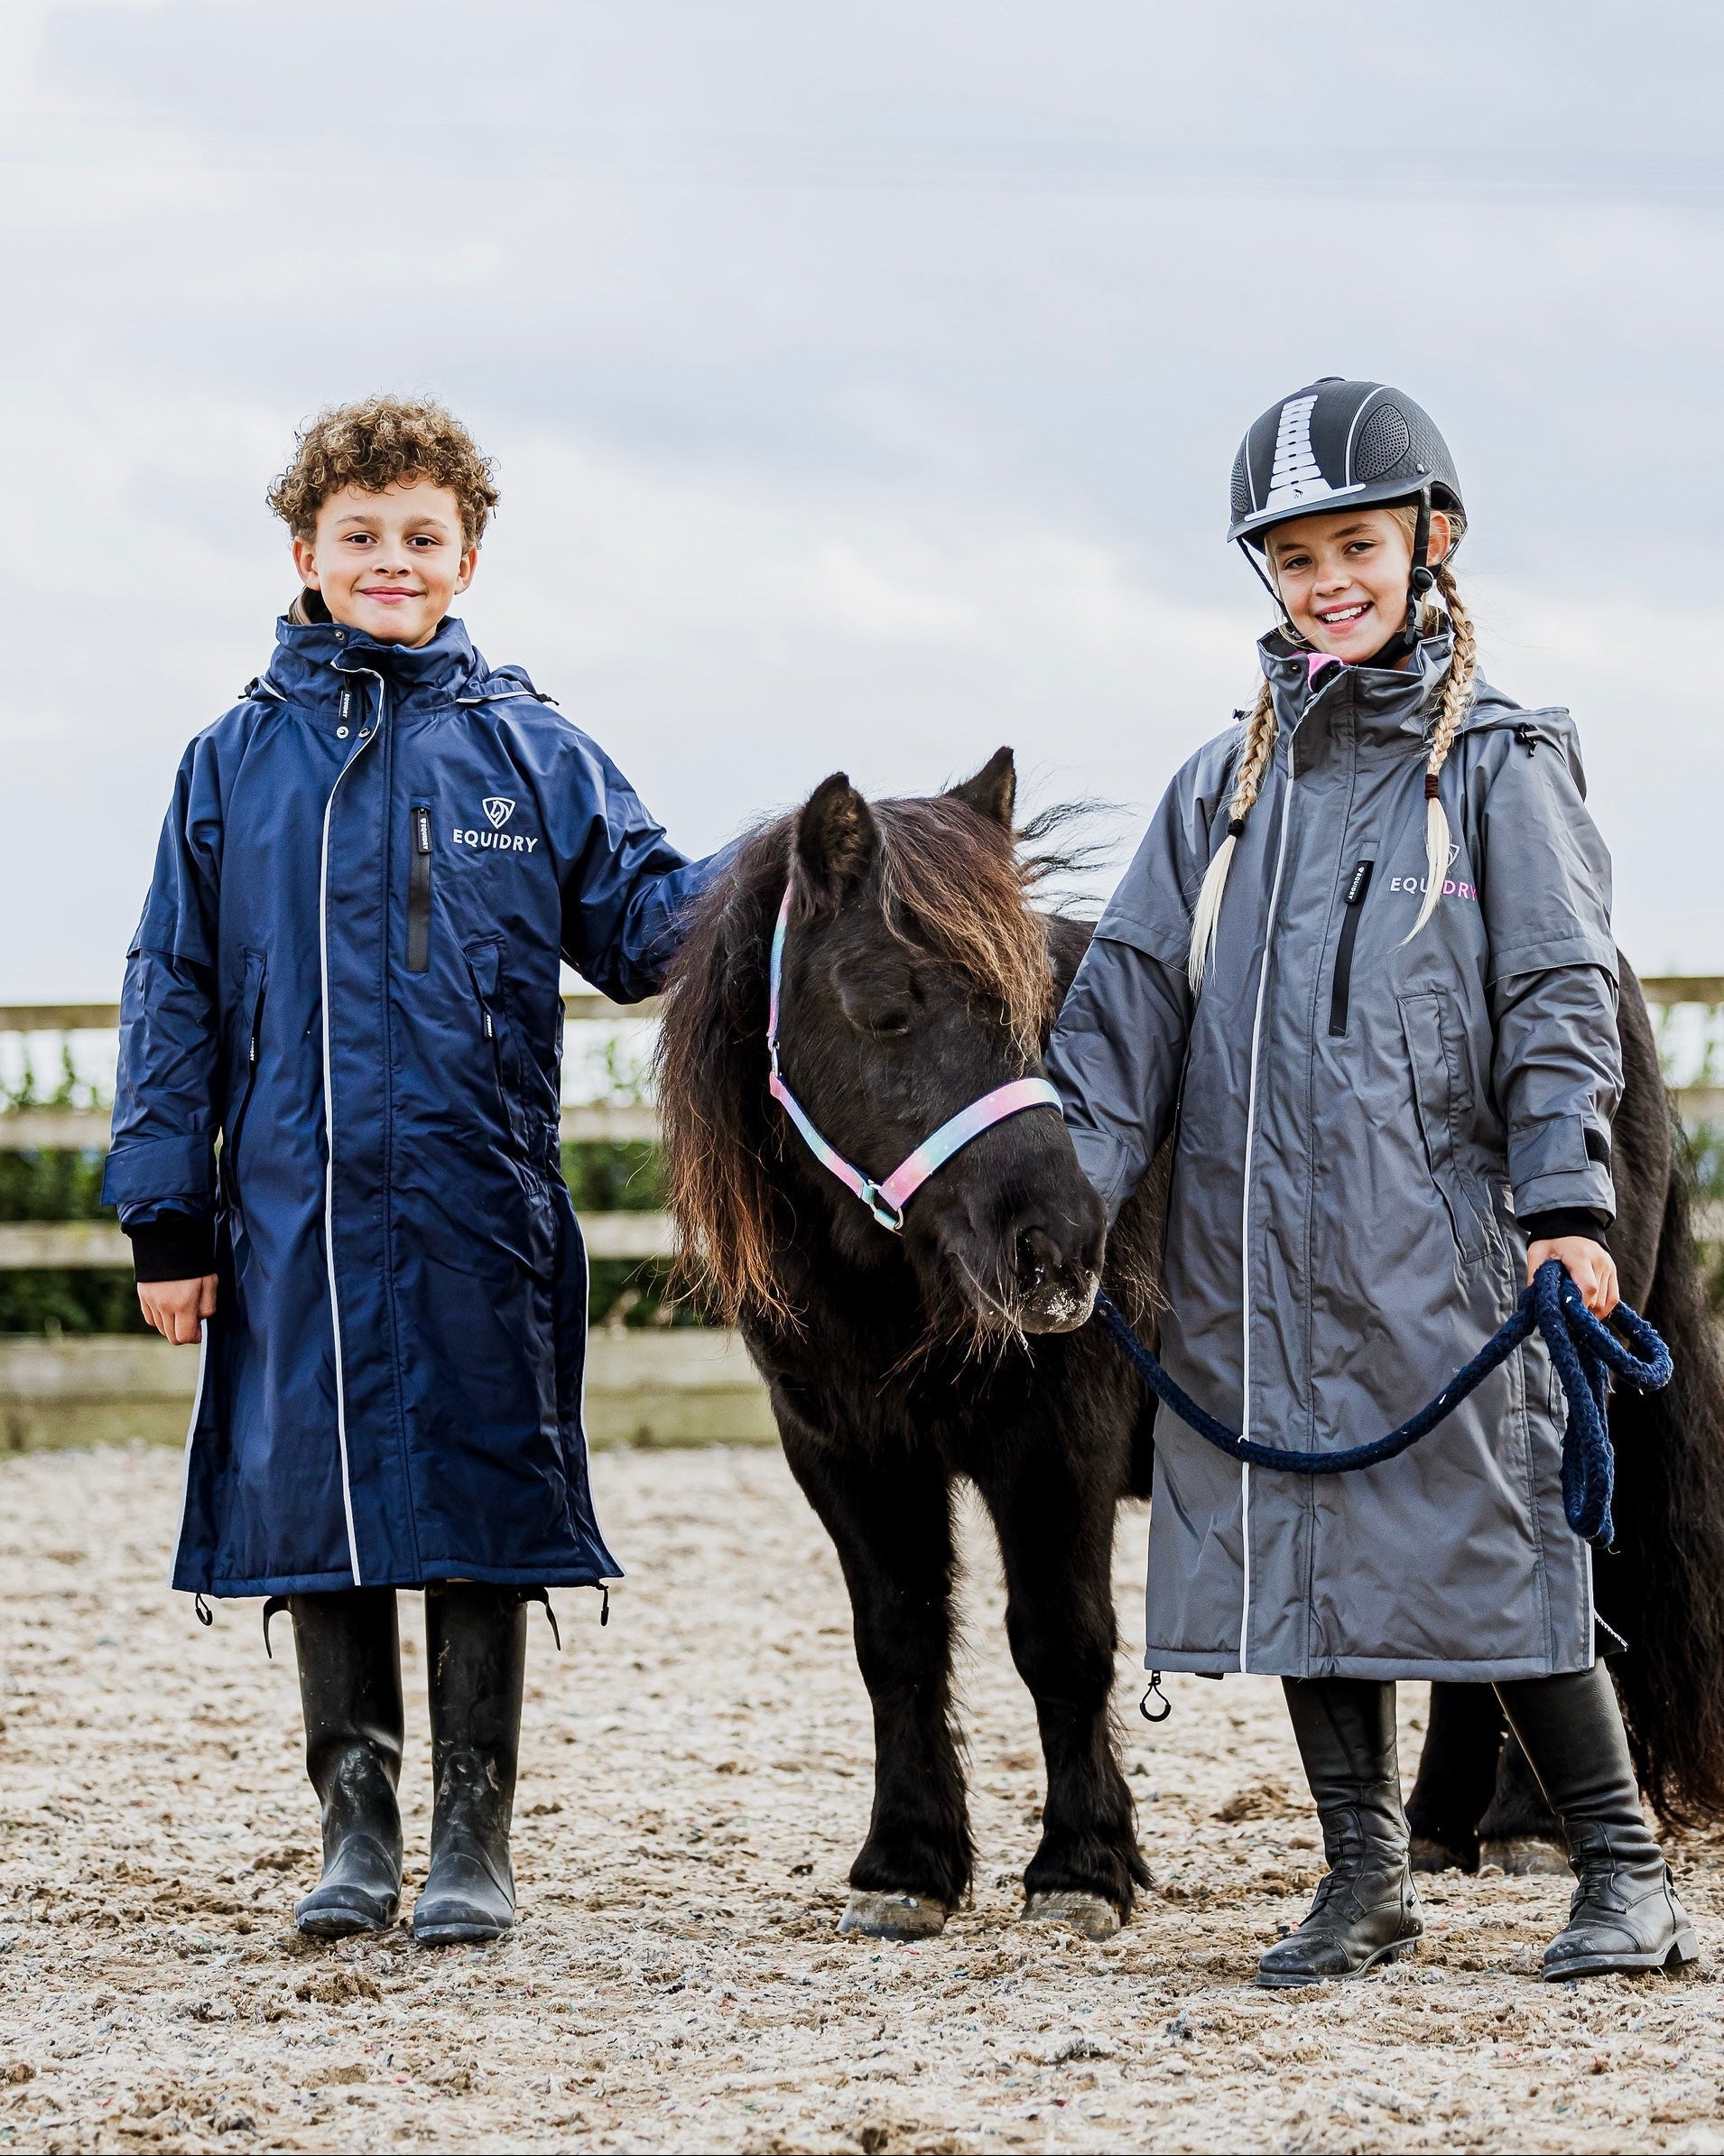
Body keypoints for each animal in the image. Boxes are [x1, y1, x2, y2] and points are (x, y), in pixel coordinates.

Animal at [655, 751, 1724, 1931]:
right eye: (884, 1009)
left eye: (1035, 1012)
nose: (1058, 1244)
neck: (890, 1288)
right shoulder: (845, 1455)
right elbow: (895, 1645)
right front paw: (905, 1865)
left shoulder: (1053, 1447)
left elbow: (1061, 1643)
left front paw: (1079, 1867)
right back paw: (1440, 1827)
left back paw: (1522, 1828)